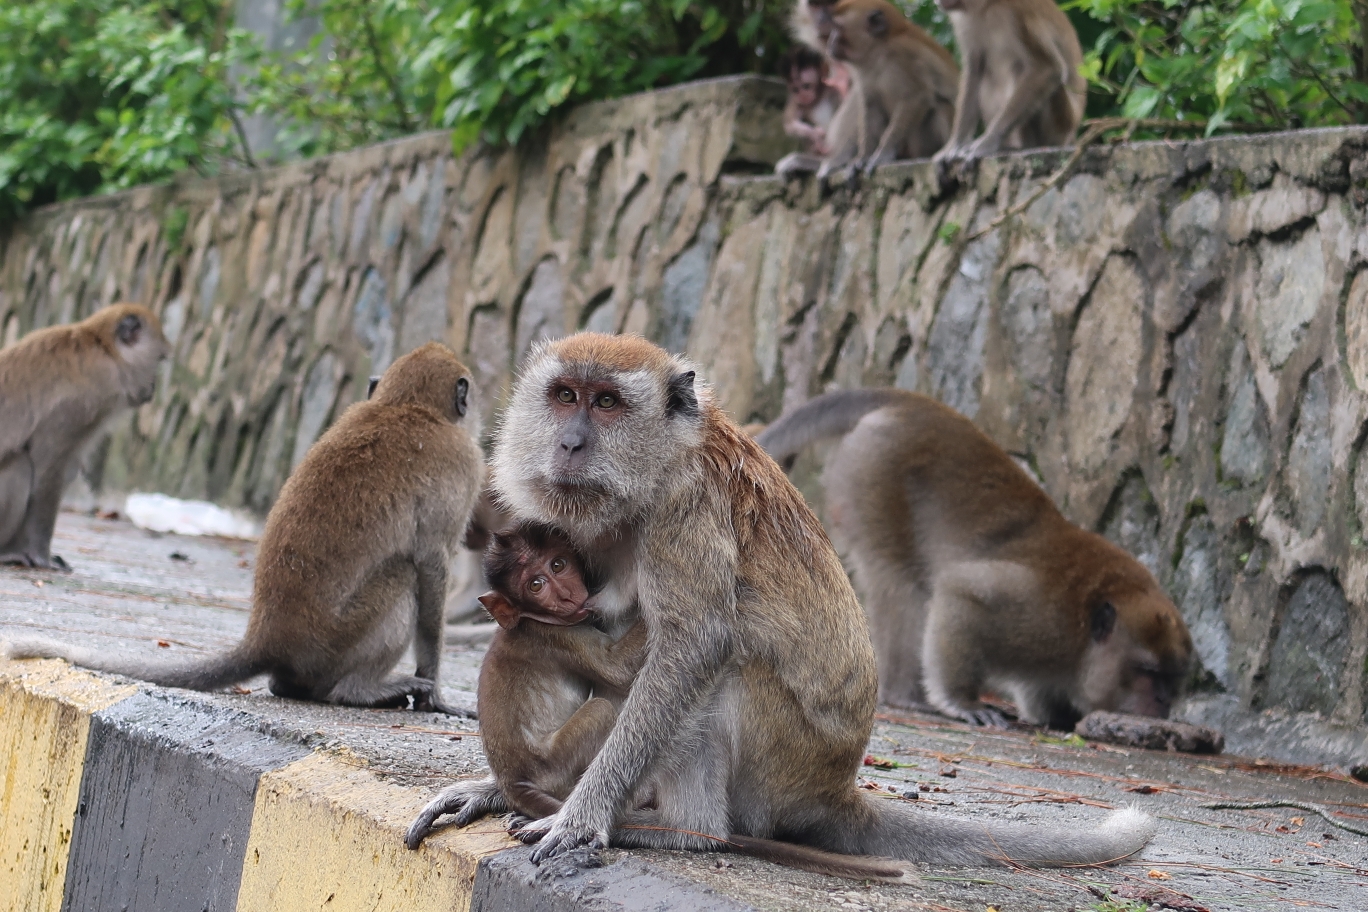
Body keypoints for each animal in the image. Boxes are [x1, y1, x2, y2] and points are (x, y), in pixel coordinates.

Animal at [2, 341, 484, 711]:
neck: (406, 404)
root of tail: (265, 639)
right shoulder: (462, 468)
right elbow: (431, 566)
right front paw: (436, 695)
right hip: (336, 640)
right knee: (404, 575)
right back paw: (357, 691)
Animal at [407, 333, 1154, 869]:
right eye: (564, 395)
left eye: (607, 403)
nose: (568, 440)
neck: (663, 460)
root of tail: (835, 791)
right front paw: (494, 787)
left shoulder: (685, 512)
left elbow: (692, 648)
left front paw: (583, 815)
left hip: (778, 767)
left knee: (724, 669)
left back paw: (684, 834)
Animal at [760, 388, 1198, 732]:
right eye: (1148, 673)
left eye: (1174, 680)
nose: (1162, 704)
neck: (1085, 633)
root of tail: (908, 402)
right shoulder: (1045, 617)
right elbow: (964, 593)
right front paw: (965, 702)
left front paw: (1057, 715)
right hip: (874, 473)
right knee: (902, 582)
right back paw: (906, 695)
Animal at [815, 0, 957, 176]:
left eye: (837, 27)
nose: (830, 42)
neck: (878, 51)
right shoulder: (863, 72)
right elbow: (871, 106)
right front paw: (863, 157)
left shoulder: (904, 55)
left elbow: (917, 97)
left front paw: (883, 154)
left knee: (941, 105)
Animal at [935, 0, 1083, 168]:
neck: (985, 7)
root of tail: (1071, 135)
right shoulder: (964, 22)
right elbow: (974, 70)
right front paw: (955, 145)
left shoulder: (1016, 15)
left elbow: (1048, 68)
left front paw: (987, 143)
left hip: (1061, 124)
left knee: (1019, 68)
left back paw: (1025, 146)